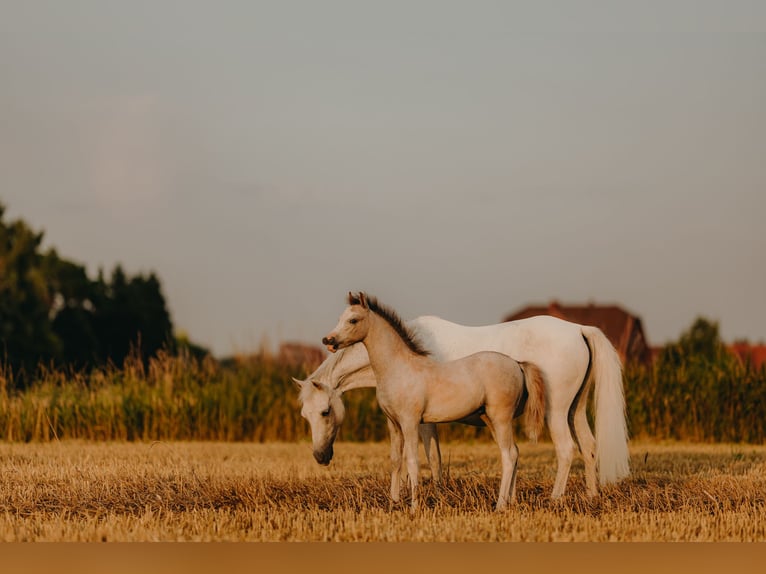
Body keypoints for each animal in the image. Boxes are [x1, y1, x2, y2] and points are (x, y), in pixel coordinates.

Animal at [296, 305, 629, 500]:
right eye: (305, 415)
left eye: (325, 412)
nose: (320, 457)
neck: (403, 355)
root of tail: (579, 329)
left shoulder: (422, 421)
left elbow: (431, 458)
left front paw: (428, 494)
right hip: (575, 410)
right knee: (589, 447)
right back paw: (591, 496)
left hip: (556, 412)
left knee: (566, 450)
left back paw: (555, 499)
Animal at [322, 292, 546, 512]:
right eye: (340, 318)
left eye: (353, 319)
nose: (328, 340)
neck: (399, 368)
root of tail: (517, 364)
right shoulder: (393, 424)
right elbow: (395, 461)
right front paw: (393, 503)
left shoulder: (410, 422)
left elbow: (412, 462)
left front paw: (414, 508)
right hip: (490, 419)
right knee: (514, 452)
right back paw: (511, 502)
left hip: (501, 418)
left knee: (509, 455)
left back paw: (500, 506)